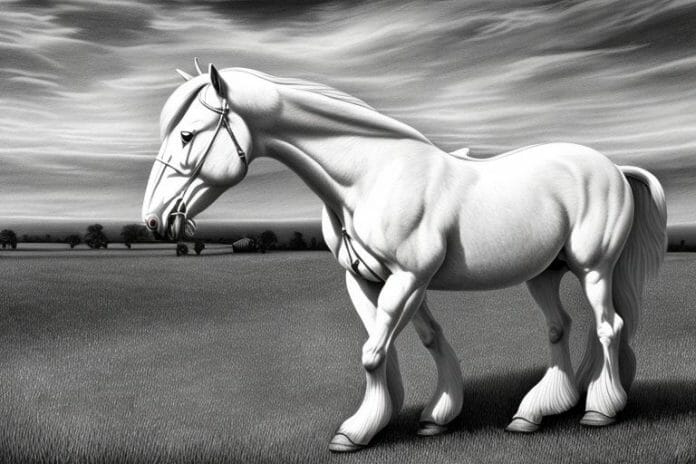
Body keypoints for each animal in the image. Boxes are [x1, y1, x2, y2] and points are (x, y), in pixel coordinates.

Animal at [142, 60, 667, 452]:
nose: (153, 219)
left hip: (594, 268)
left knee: (609, 327)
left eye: (187, 135)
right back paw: (535, 412)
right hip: (545, 273)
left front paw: (356, 432)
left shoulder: (409, 277)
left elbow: (374, 352)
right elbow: (415, 341)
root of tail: (615, 168)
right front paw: (431, 415)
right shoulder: (368, 280)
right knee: (561, 327)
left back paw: (600, 408)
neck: (370, 177)